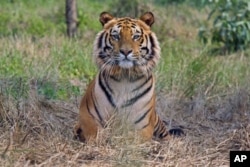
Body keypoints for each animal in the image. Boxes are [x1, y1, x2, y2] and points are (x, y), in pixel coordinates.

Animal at [73, 11, 183, 142]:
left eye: (136, 36)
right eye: (116, 36)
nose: (125, 51)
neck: (124, 78)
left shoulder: (143, 126)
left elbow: (130, 137)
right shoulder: (87, 115)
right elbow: (94, 132)